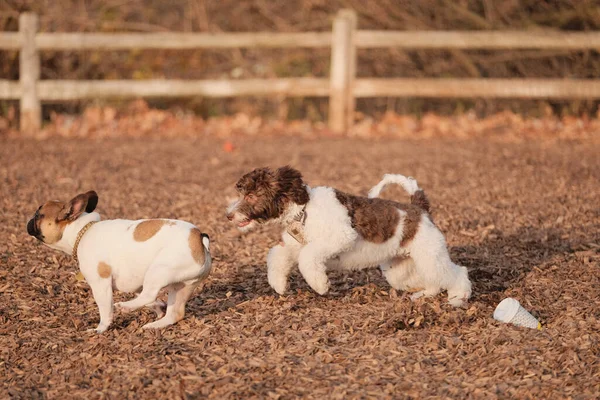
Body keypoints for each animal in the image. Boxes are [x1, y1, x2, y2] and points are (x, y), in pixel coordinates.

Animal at [27, 191, 212, 332]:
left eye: (38, 215)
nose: (28, 221)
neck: (82, 231)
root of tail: (198, 238)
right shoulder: (134, 283)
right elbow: (150, 299)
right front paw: (158, 307)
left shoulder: (100, 284)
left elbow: (105, 310)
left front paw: (100, 329)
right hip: (181, 285)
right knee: (173, 312)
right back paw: (153, 325)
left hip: (159, 270)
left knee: (149, 293)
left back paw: (125, 307)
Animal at [227, 167, 472, 308]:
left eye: (251, 195)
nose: (228, 215)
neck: (304, 210)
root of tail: (419, 208)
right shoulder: (292, 247)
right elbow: (276, 255)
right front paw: (279, 285)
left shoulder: (339, 237)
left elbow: (308, 257)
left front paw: (320, 285)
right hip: (403, 268)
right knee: (434, 280)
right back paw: (424, 295)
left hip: (430, 255)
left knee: (458, 273)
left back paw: (457, 299)